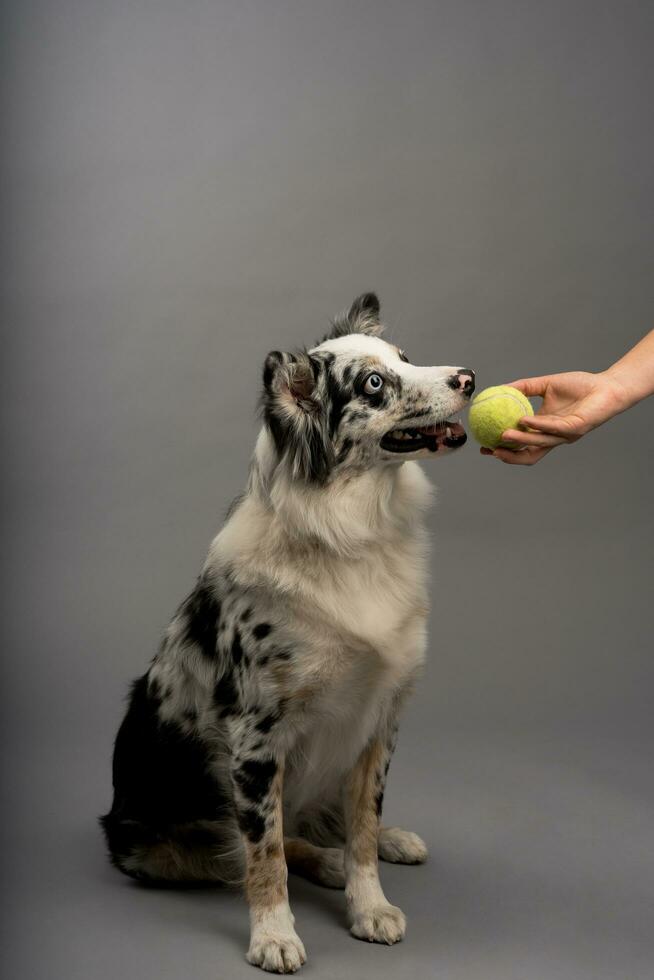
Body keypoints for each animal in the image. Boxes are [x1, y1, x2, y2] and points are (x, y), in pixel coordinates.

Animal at [100, 292, 474, 972]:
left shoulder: (380, 719)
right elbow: (265, 853)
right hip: (165, 842)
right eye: (373, 383)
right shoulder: (255, 738)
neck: (354, 535)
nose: (468, 378)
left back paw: (382, 843)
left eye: (406, 357)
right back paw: (322, 863)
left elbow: (362, 822)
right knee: (258, 843)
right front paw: (274, 936)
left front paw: (369, 904)